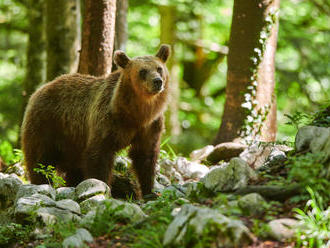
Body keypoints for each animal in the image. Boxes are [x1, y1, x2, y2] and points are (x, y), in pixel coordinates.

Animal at [21, 44, 170, 196]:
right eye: (142, 71)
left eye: (159, 68)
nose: (157, 81)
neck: (135, 114)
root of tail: (41, 89)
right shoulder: (107, 121)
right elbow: (99, 155)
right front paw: (102, 186)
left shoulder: (150, 126)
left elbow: (145, 157)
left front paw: (149, 191)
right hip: (48, 123)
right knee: (40, 158)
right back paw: (41, 182)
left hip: (72, 141)